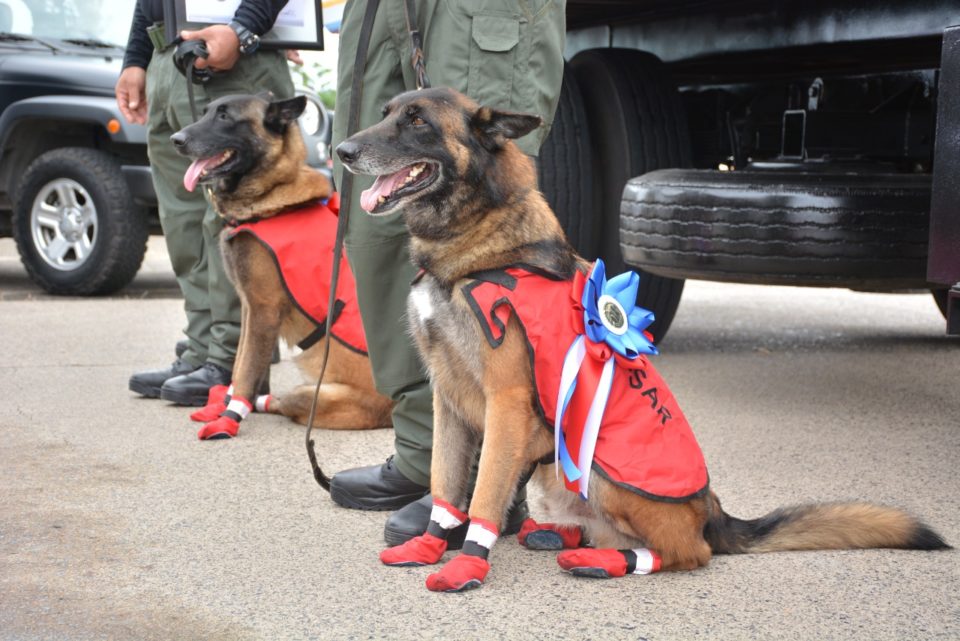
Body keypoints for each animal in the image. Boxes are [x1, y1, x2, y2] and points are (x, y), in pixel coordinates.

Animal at [174, 94, 392, 440]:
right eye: (206, 112)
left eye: (225, 116)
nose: (176, 139)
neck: (269, 199)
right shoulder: (249, 308)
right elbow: (241, 359)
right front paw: (225, 403)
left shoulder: (263, 309)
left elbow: (246, 367)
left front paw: (229, 418)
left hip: (311, 395)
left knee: (287, 402)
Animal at [336, 87, 944, 592]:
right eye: (387, 113)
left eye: (417, 122)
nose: (342, 151)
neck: (471, 248)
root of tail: (713, 511)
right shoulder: (448, 399)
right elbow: (445, 480)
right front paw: (431, 544)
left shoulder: (505, 403)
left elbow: (482, 491)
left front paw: (466, 564)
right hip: (555, 466)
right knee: (595, 526)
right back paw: (559, 536)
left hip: (602, 472)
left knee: (686, 552)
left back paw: (605, 561)